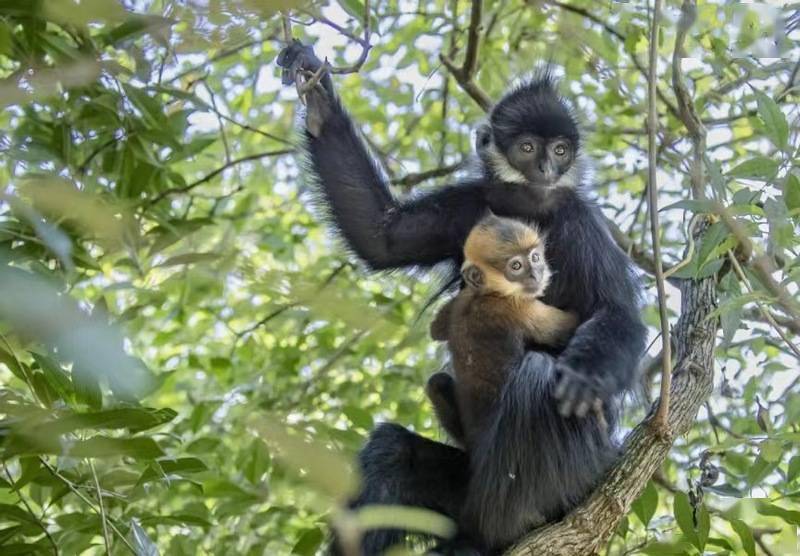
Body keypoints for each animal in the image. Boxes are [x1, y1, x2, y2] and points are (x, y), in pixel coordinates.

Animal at [428, 215, 580, 450]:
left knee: (436, 382)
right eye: (516, 266)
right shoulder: (520, 309)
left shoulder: (464, 300)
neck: (490, 294)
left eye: (535, 257)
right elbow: (572, 324)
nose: (536, 275)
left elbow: (435, 330)